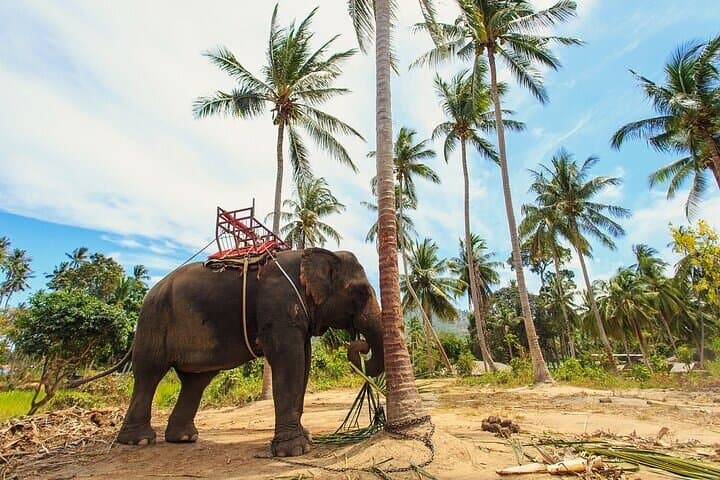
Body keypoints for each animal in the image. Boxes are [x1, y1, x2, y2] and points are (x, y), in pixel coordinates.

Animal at [115, 248, 384, 457]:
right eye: (361, 292)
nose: (359, 346)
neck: (312, 253)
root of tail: (151, 290)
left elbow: (304, 362)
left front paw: (305, 439)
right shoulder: (277, 307)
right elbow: (289, 361)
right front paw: (294, 450)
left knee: (196, 381)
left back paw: (183, 438)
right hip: (153, 322)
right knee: (149, 373)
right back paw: (139, 441)